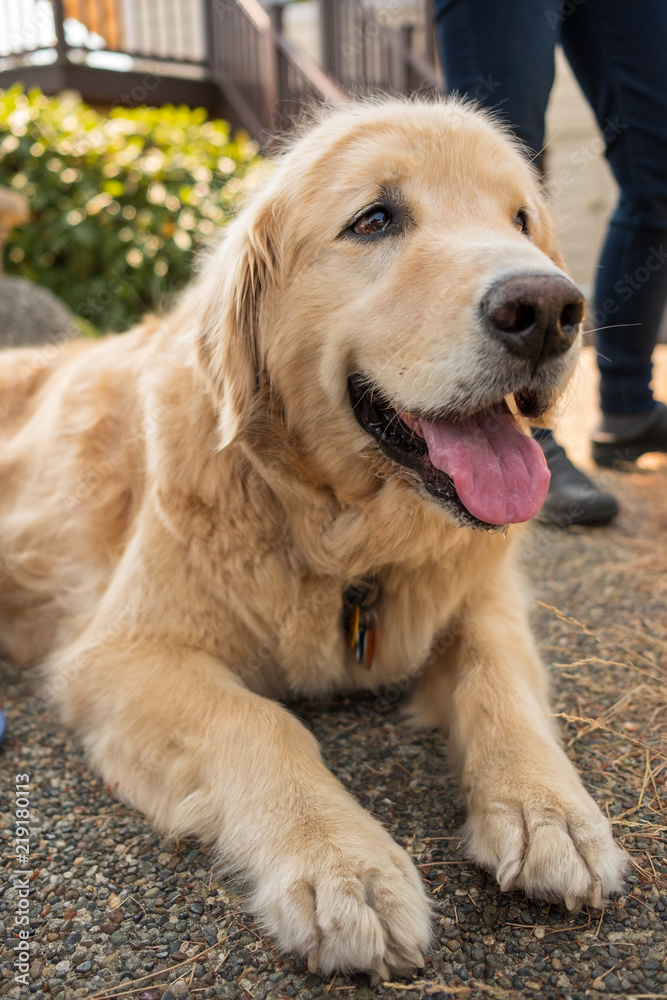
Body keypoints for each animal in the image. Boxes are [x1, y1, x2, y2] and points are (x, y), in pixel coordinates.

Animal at [0, 99, 628, 976]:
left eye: (521, 220)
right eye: (374, 219)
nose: (547, 311)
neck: (343, 543)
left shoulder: (482, 600)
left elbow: (497, 680)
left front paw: (549, 809)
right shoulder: (118, 654)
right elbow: (262, 724)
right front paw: (341, 864)